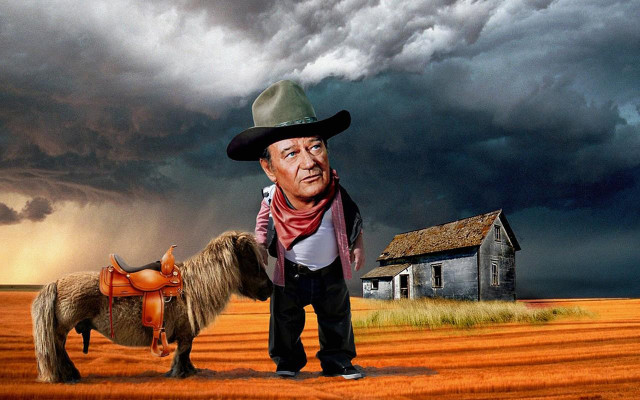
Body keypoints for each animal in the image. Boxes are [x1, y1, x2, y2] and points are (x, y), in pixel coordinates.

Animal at [31, 231, 273, 383]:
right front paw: (181, 374)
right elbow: (184, 353)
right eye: (250, 259)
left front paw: (188, 371)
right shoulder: (186, 334)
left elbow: (185, 355)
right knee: (58, 349)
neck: (193, 286)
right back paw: (68, 375)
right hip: (61, 329)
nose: (269, 289)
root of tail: (56, 283)